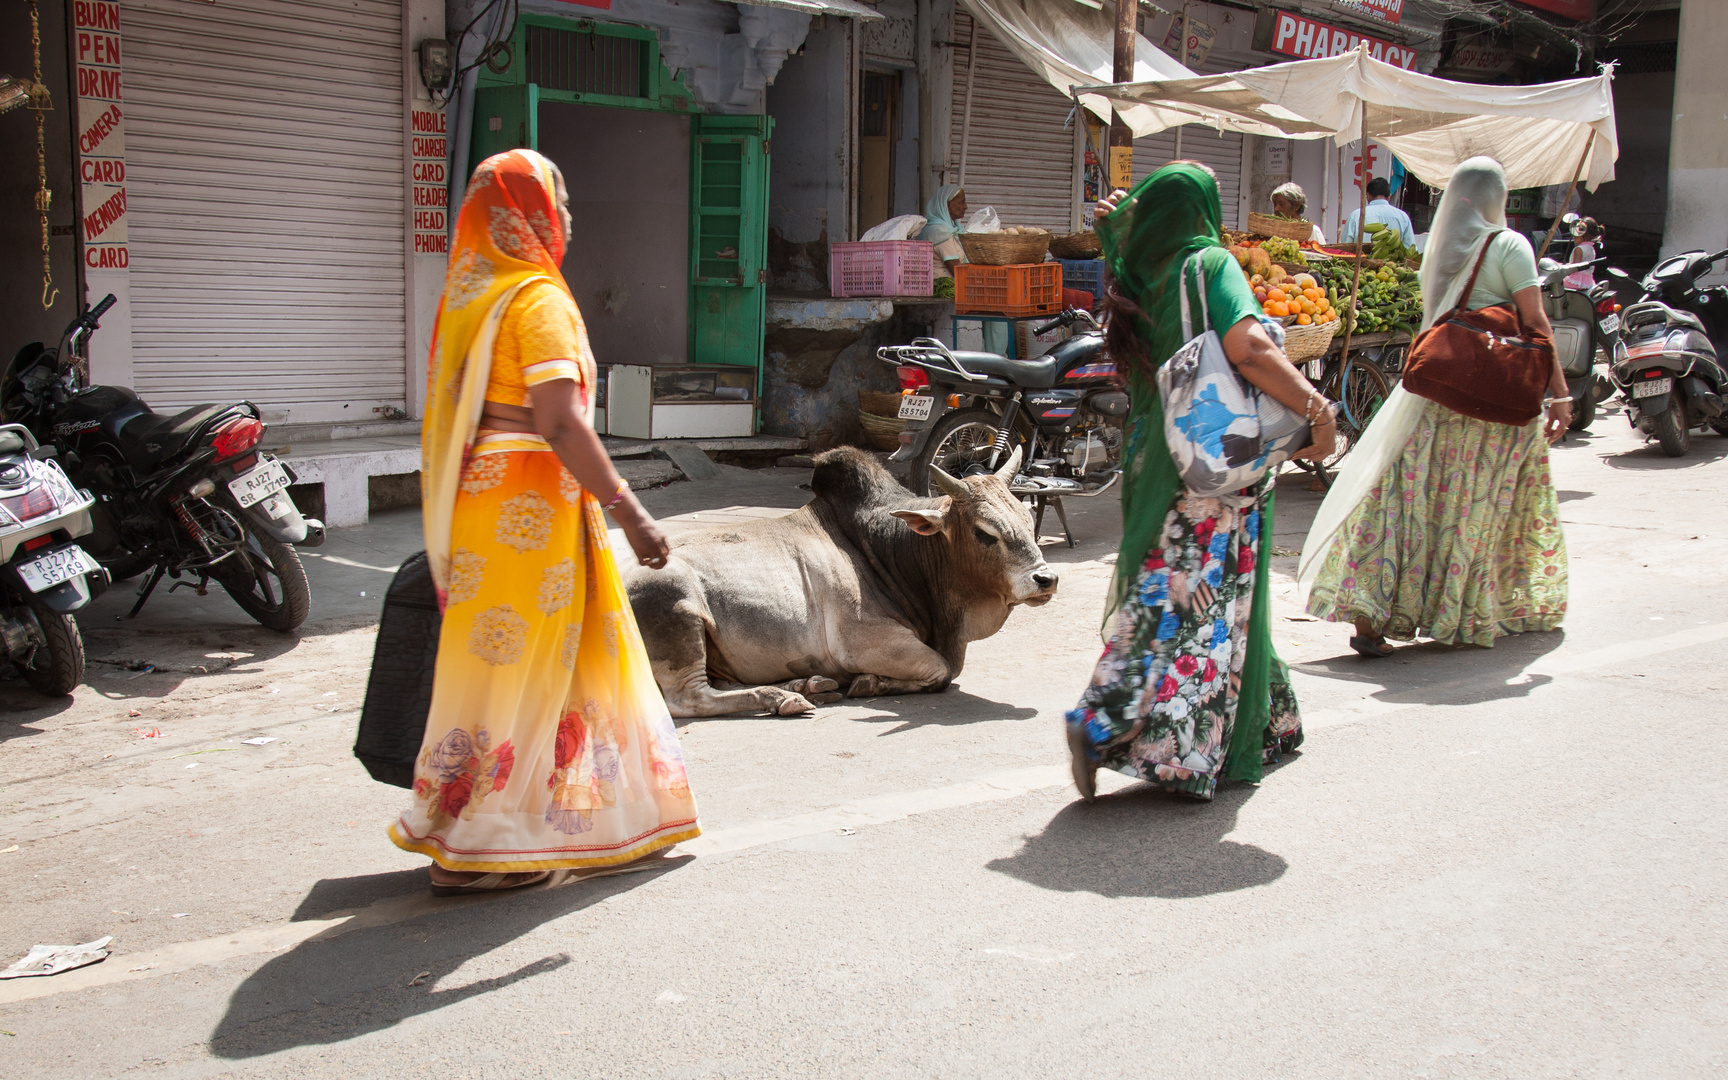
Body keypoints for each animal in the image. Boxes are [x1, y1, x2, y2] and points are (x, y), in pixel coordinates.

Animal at [622, 445, 1050, 715]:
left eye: (1028, 518)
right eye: (984, 532)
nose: (1046, 578)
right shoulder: (864, 642)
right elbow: (942, 671)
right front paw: (870, 683)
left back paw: (801, 687)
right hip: (675, 609)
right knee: (689, 699)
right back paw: (778, 698)